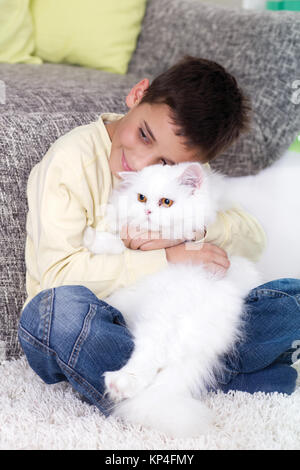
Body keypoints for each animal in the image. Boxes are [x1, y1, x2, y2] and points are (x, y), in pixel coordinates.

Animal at [83, 162, 262, 436]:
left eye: (166, 202)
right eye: (141, 198)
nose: (147, 211)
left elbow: (122, 247)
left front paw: (91, 236)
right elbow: (120, 241)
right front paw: (99, 232)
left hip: (160, 317)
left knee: (148, 360)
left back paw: (118, 383)